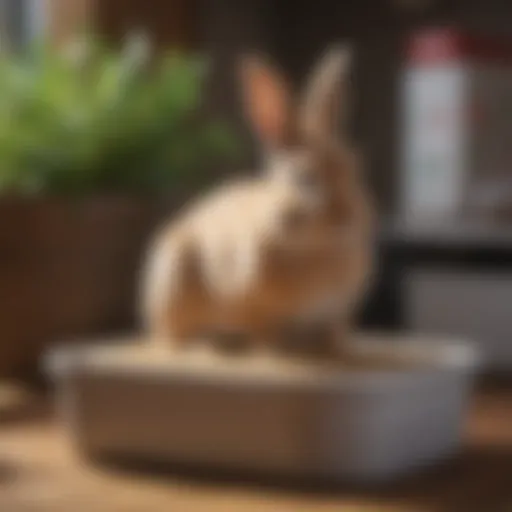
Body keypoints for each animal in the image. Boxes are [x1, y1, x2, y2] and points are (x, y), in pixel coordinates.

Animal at [140, 45, 376, 356]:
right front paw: (276, 349)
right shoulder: (247, 304)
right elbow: (263, 332)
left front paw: (335, 348)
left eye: (354, 168)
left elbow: (334, 333)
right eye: (306, 178)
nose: (349, 218)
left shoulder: (335, 314)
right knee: (172, 337)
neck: (315, 248)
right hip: (174, 276)